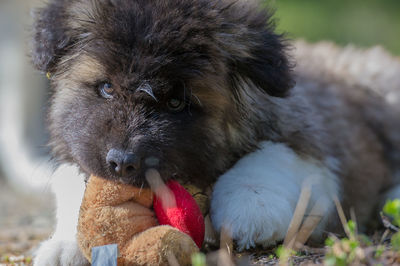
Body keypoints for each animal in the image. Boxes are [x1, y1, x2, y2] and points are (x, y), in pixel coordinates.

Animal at [32, 0, 400, 264]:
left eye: (177, 102)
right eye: (107, 87)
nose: (122, 162)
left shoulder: (308, 135)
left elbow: (273, 158)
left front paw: (251, 204)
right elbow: (74, 184)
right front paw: (66, 244)